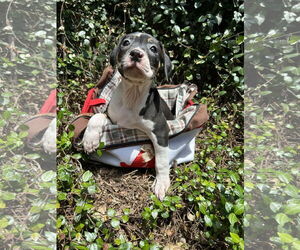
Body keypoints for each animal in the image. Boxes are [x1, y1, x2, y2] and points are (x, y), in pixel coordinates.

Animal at [83, 31, 175, 199]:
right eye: (126, 43)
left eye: (153, 48)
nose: (136, 53)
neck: (133, 91)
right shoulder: (113, 119)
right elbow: (96, 116)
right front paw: (89, 140)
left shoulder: (160, 130)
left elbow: (161, 160)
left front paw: (161, 183)